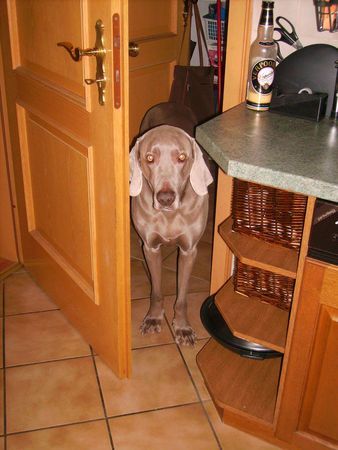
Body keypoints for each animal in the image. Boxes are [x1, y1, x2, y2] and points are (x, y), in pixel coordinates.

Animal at [130, 123, 213, 344]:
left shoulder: (189, 251)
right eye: (150, 158)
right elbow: (157, 292)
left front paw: (183, 328)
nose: (165, 198)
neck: (169, 215)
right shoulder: (151, 248)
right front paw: (153, 318)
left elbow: (182, 298)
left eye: (182, 157)